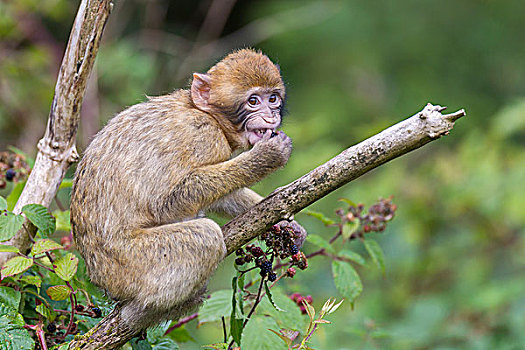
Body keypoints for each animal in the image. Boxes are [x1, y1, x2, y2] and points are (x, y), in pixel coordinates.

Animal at [71, 48, 304, 330]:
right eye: (253, 101)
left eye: (273, 98)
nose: (272, 116)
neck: (206, 114)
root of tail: (98, 276)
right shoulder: (203, 137)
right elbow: (164, 204)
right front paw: (266, 158)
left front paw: (285, 224)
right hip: (131, 263)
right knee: (207, 236)